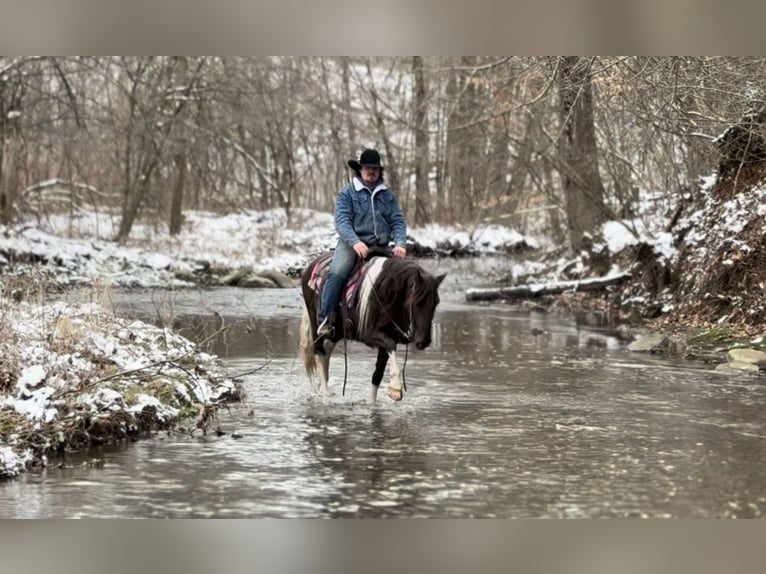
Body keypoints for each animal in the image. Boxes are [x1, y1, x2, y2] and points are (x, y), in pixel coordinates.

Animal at [299, 251, 445, 403]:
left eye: (436, 302)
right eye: (417, 302)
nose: (424, 342)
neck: (384, 294)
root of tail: (311, 266)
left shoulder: (385, 341)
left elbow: (377, 375)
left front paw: (372, 403)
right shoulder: (370, 335)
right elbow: (390, 344)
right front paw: (395, 388)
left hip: (336, 332)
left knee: (326, 353)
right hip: (316, 326)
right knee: (319, 352)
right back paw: (324, 393)